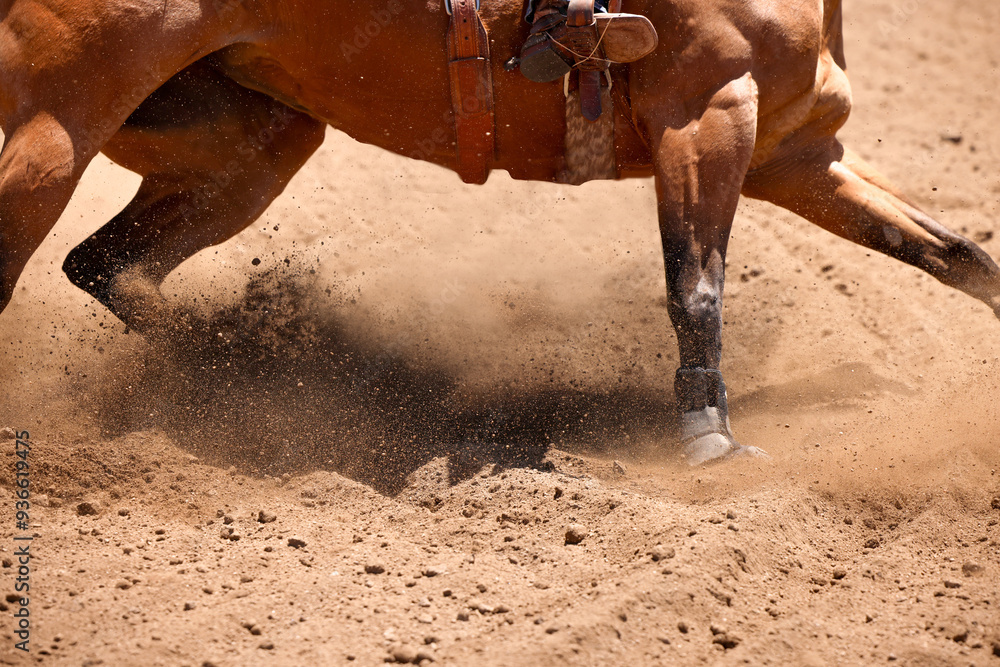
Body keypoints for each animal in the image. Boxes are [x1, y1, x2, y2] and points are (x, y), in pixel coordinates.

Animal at [1, 0, 998, 465]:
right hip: (49, 134)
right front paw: (709, 440)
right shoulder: (707, 118)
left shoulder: (798, 157)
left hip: (258, 144)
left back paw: (261, 367)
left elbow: (957, 256)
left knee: (105, 265)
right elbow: (696, 290)